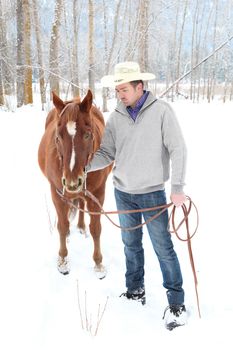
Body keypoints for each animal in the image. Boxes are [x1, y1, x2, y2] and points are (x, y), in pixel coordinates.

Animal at [37, 90, 112, 276]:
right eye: (58, 136)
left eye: (87, 134)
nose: (72, 182)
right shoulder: (57, 193)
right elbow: (62, 226)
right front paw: (63, 261)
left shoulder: (98, 194)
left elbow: (96, 228)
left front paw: (98, 263)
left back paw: (80, 226)